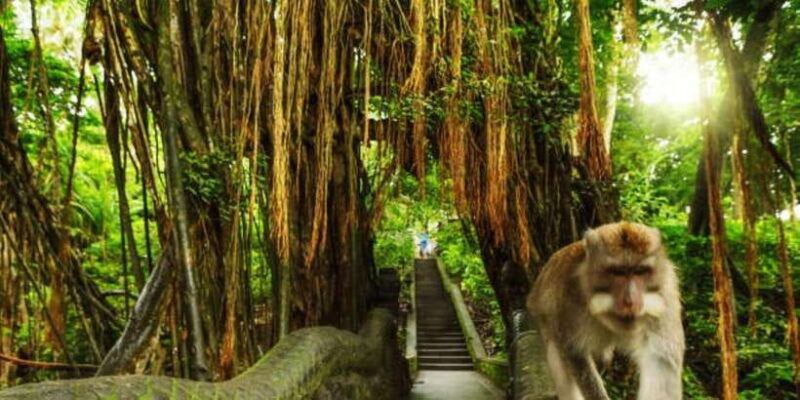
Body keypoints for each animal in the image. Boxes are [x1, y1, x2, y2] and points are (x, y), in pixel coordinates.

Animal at [526, 222, 684, 400]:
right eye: (617, 272)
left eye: (640, 271)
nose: (630, 301)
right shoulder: (569, 299)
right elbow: (574, 352)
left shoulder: (667, 295)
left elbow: (661, 362)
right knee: (557, 355)